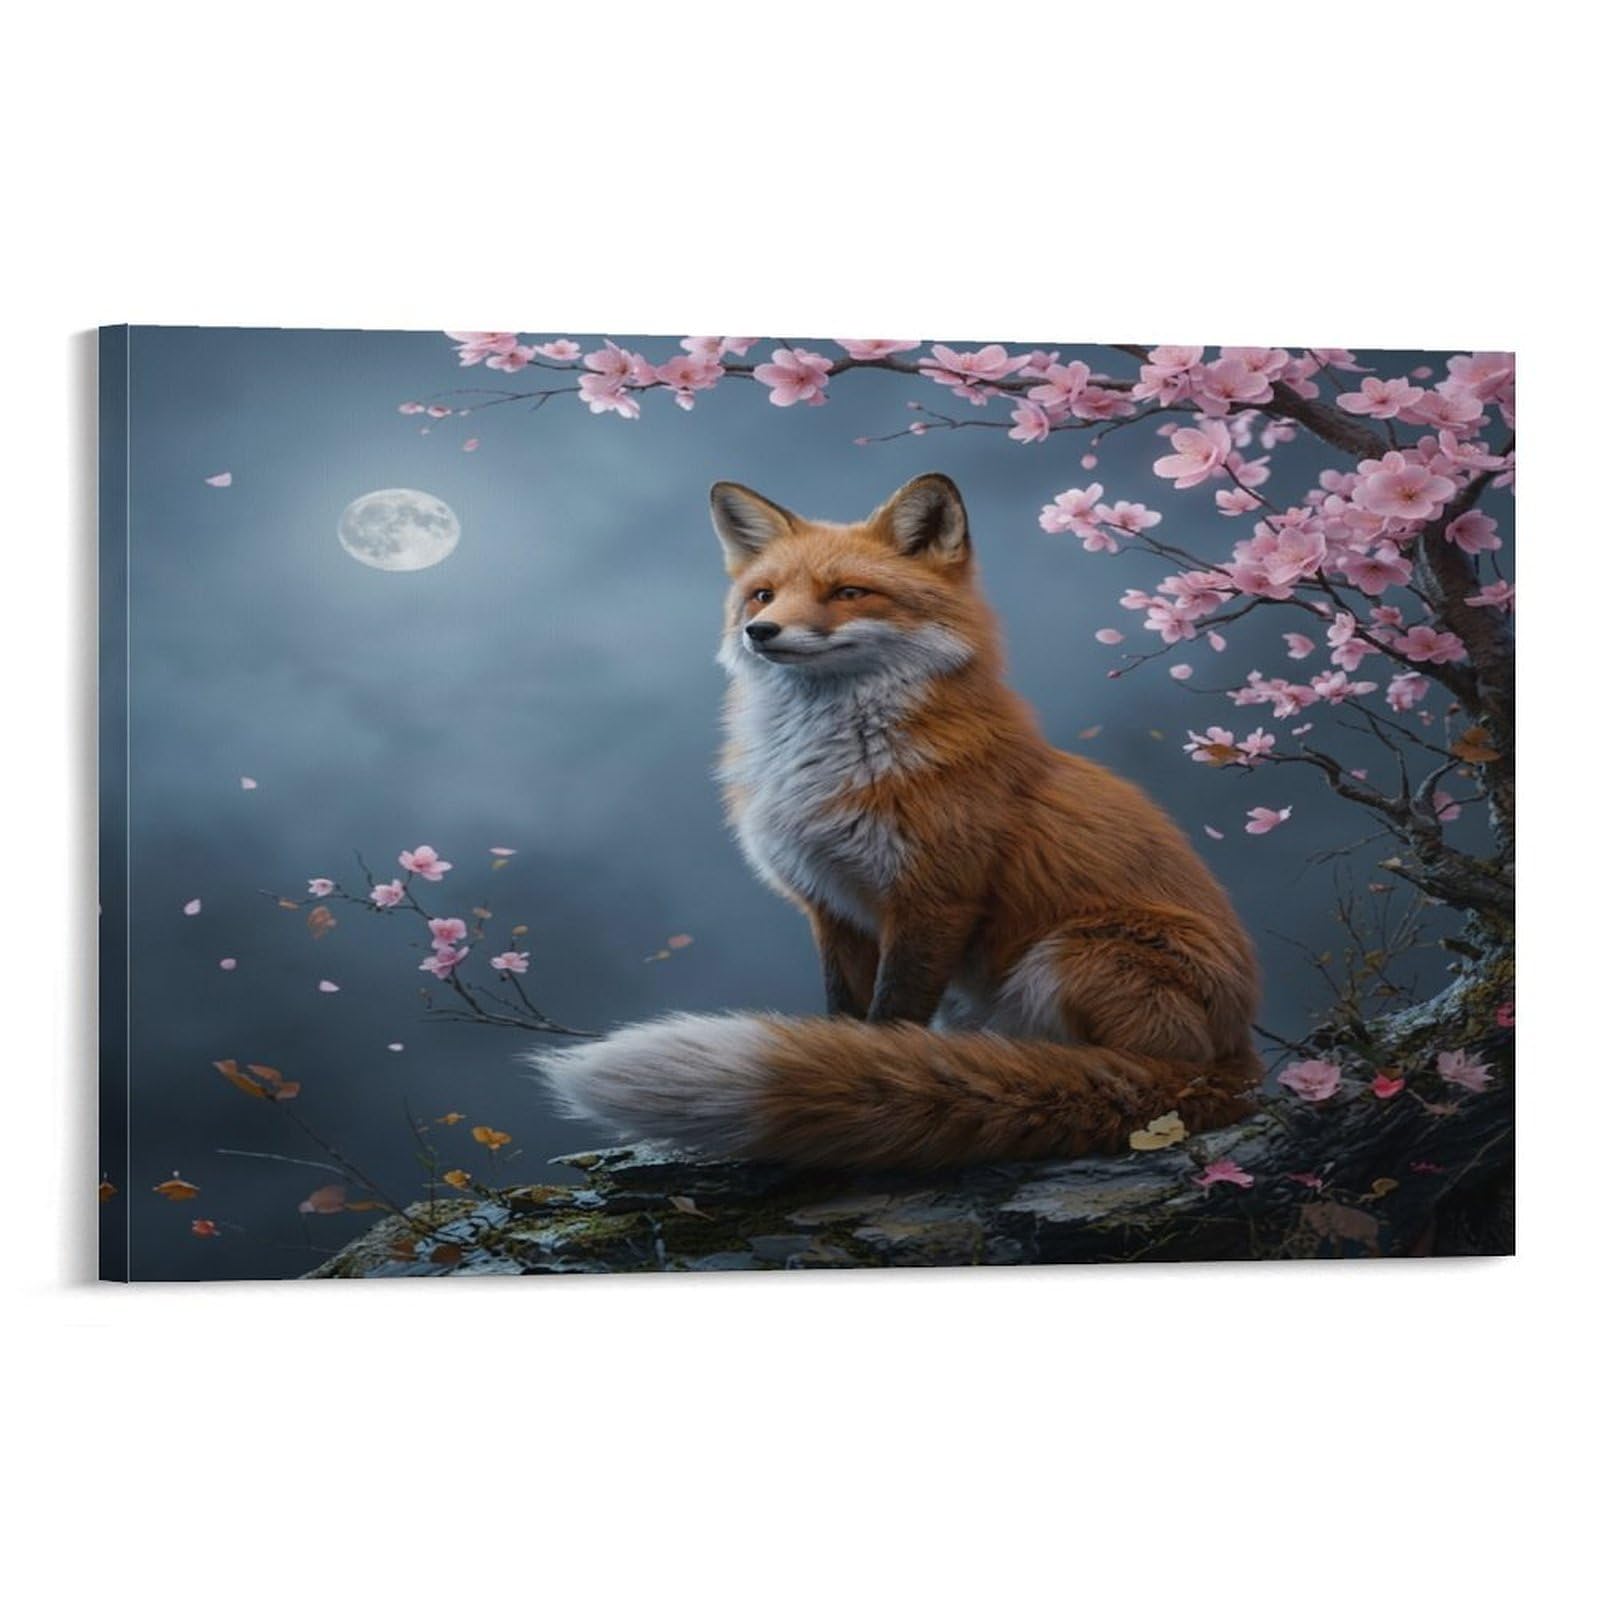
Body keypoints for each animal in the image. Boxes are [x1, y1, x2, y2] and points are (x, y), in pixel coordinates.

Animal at [538, 472, 1263, 1168]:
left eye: (848, 592)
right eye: (763, 596)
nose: (760, 632)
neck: (829, 764)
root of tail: (1240, 1063)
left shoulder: (933, 897)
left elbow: (889, 1022)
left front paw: (864, 1090)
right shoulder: (830, 903)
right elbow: (845, 1017)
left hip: (1073, 956)